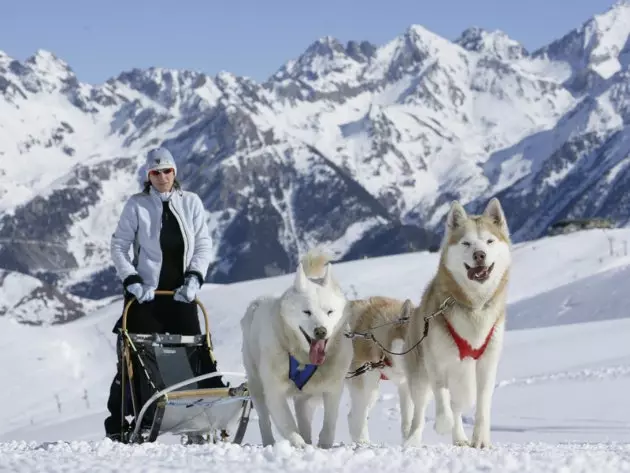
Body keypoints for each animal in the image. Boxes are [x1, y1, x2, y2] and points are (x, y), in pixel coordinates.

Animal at [241, 249, 354, 448]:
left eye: (330, 312)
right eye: (307, 312)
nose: (320, 331)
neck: (303, 359)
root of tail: (256, 303)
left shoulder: (333, 389)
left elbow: (330, 422)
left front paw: (323, 444)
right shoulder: (274, 392)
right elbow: (288, 425)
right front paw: (299, 445)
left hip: (303, 399)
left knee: (304, 419)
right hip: (256, 385)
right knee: (264, 420)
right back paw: (270, 442)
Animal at [404, 197, 512, 448]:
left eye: (489, 241)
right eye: (466, 243)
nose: (480, 254)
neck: (474, 307)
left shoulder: (487, 363)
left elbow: (482, 403)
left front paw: (480, 439)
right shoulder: (436, 360)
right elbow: (441, 396)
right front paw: (442, 424)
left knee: (457, 405)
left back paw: (460, 437)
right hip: (420, 375)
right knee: (421, 411)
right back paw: (413, 439)